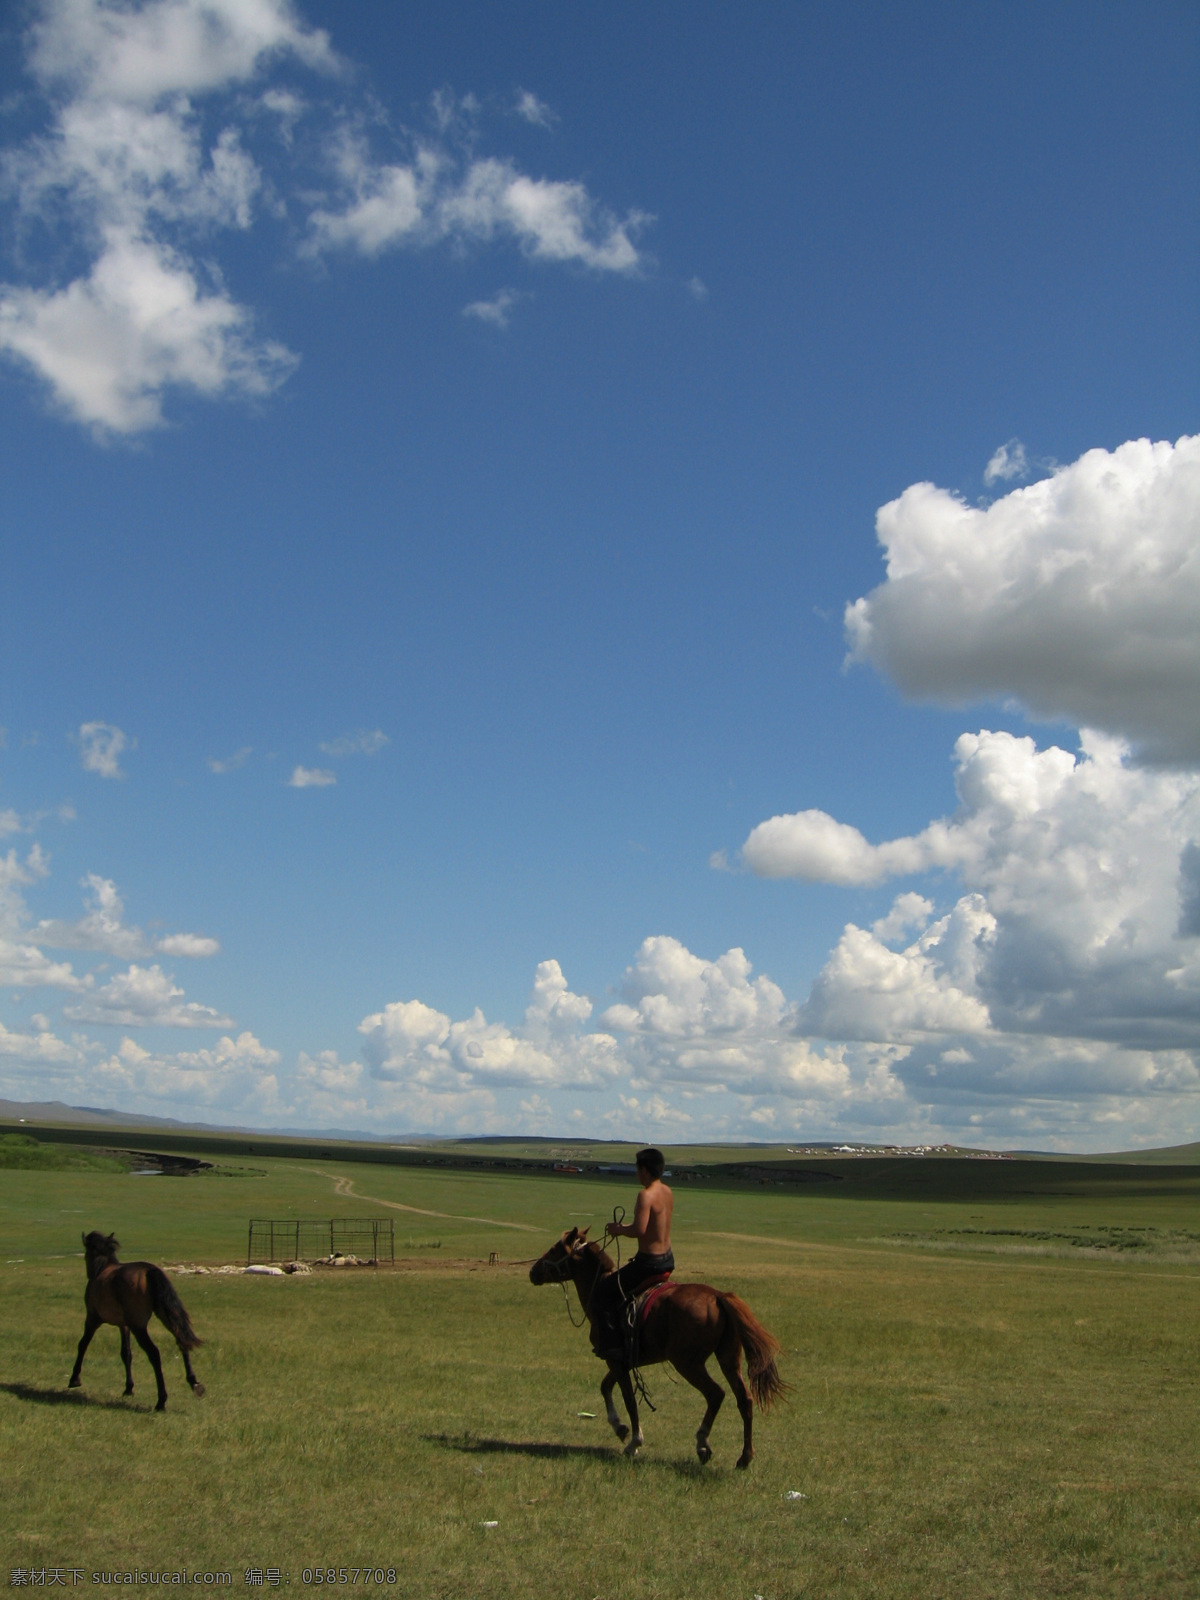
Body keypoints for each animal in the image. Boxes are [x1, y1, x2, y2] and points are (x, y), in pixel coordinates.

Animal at [69, 1228, 206, 1408]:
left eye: (86, 1253)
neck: (103, 1267)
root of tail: (149, 1271)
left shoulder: (92, 1318)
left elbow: (83, 1344)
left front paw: (74, 1378)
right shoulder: (124, 1325)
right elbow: (126, 1353)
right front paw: (129, 1388)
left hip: (139, 1327)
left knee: (154, 1353)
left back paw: (161, 1400)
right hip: (165, 1315)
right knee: (181, 1340)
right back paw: (194, 1382)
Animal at [531, 1228, 784, 1465]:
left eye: (554, 1250)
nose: (533, 1271)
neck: (599, 1288)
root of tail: (717, 1296)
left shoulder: (615, 1360)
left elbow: (629, 1400)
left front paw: (634, 1442)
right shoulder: (621, 1360)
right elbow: (605, 1387)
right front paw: (619, 1427)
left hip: (687, 1363)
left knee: (716, 1394)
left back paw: (702, 1443)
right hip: (728, 1358)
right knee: (744, 1399)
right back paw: (744, 1457)